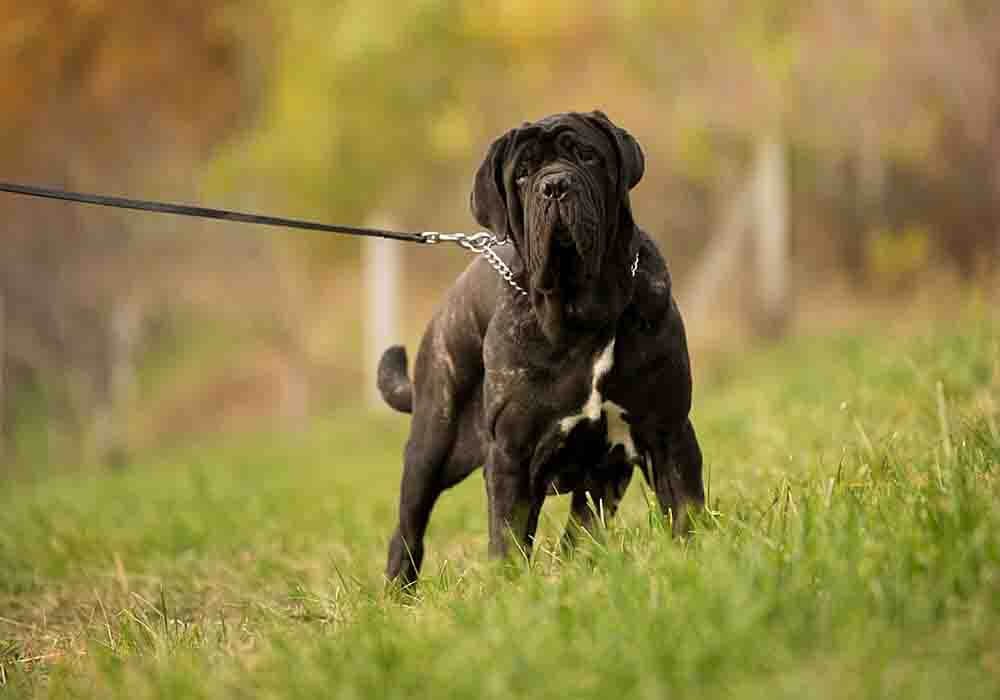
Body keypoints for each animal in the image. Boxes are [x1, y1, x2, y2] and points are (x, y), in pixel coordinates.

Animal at [376, 112, 704, 588]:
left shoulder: (667, 429)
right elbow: (507, 537)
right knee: (407, 529)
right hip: (432, 447)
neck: (584, 313)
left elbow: (685, 507)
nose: (555, 185)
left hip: (600, 477)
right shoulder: (513, 454)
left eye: (586, 155)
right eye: (523, 173)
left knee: (581, 530)